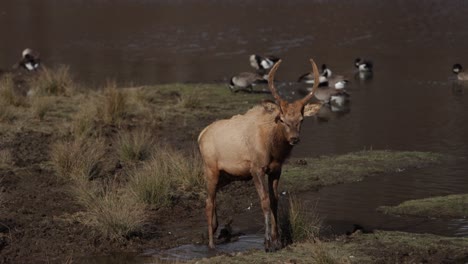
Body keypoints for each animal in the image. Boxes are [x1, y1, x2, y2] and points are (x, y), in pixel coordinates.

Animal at [197, 58, 322, 252]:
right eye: (282, 119)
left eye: (301, 120)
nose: (294, 138)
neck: (273, 149)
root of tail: (200, 135)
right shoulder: (256, 168)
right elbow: (264, 201)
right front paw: (267, 242)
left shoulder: (276, 169)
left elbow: (275, 200)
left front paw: (278, 241)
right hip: (210, 168)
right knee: (209, 202)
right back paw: (211, 244)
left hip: (227, 175)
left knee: (211, 197)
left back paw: (217, 229)